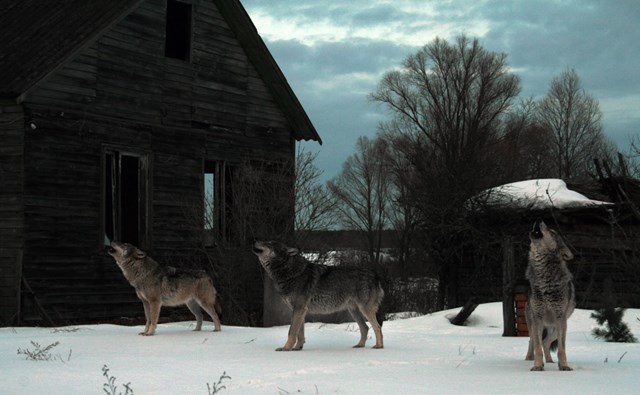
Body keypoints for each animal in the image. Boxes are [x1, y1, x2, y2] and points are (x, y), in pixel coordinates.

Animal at [252, 240, 384, 352]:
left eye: (269, 243)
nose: (255, 240)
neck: (291, 273)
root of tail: (375, 275)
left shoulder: (299, 309)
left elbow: (292, 332)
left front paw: (285, 348)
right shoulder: (300, 311)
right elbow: (300, 333)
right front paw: (297, 348)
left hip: (364, 310)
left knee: (377, 327)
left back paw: (379, 346)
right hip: (354, 311)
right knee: (365, 328)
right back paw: (359, 345)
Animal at [524, 220, 576, 372]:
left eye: (552, 232)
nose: (539, 220)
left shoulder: (560, 318)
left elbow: (561, 349)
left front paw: (564, 366)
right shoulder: (538, 317)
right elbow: (537, 347)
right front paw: (537, 366)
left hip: (556, 328)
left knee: (546, 342)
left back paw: (550, 361)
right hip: (534, 324)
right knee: (533, 341)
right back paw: (529, 359)